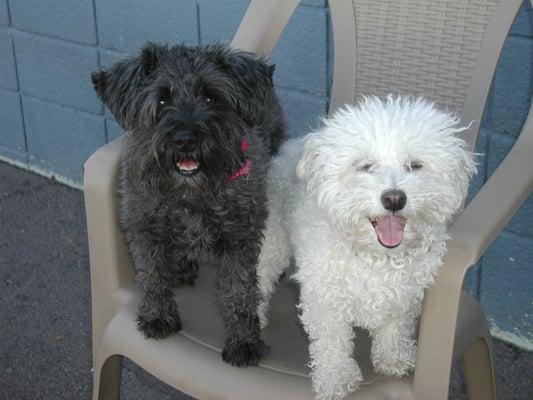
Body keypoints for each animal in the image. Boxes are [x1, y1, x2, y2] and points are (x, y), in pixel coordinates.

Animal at [90, 43, 286, 366]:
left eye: (210, 96)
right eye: (161, 99)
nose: (185, 140)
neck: (189, 194)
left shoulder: (240, 238)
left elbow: (239, 291)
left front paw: (243, 340)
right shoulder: (143, 228)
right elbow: (153, 275)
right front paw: (157, 316)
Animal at [256, 95, 476, 398]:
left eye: (414, 165)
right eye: (365, 166)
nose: (394, 198)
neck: (377, 256)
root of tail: (289, 147)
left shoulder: (404, 295)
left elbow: (395, 329)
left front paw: (393, 358)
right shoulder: (326, 299)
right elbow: (332, 342)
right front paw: (335, 378)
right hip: (273, 243)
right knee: (259, 276)